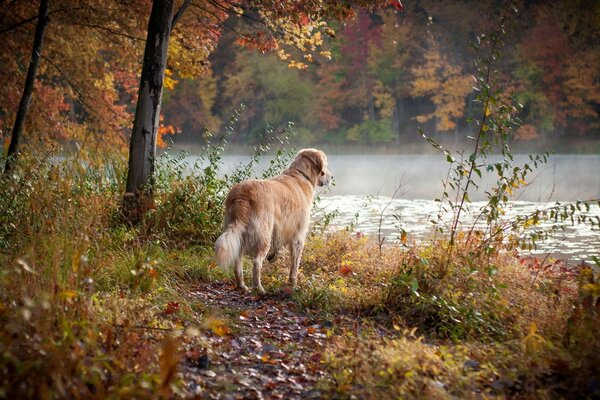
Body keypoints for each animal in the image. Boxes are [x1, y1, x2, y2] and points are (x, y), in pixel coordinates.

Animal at [213, 150, 332, 294]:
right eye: (326, 165)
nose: (332, 177)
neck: (301, 175)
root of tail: (243, 195)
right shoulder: (298, 235)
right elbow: (295, 265)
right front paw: (293, 284)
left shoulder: (279, 229)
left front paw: (274, 257)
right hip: (263, 235)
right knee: (256, 263)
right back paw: (259, 288)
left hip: (239, 232)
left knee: (237, 261)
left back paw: (242, 286)